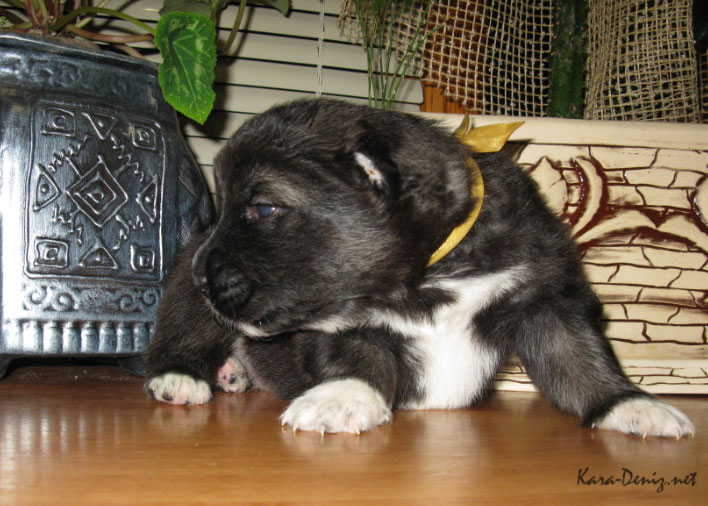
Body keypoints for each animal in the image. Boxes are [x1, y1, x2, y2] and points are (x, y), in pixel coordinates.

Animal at [144, 98, 694, 438]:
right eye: (227, 207)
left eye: (262, 209)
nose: (200, 274)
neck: (429, 275)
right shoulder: (345, 326)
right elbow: (356, 359)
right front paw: (341, 398)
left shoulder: (545, 297)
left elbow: (580, 360)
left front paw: (632, 405)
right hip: (188, 302)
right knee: (182, 333)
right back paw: (183, 378)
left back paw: (233, 372)